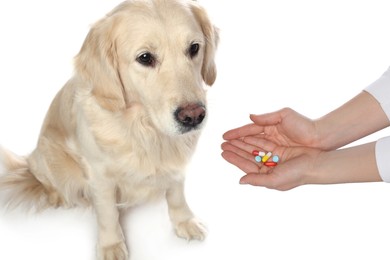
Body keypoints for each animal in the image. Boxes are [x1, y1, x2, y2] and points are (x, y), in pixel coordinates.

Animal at [0, 1, 218, 258]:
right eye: (145, 57)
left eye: (194, 48)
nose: (193, 116)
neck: (144, 128)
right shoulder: (99, 175)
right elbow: (107, 214)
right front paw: (111, 245)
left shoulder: (177, 164)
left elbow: (176, 194)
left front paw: (185, 221)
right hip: (52, 161)